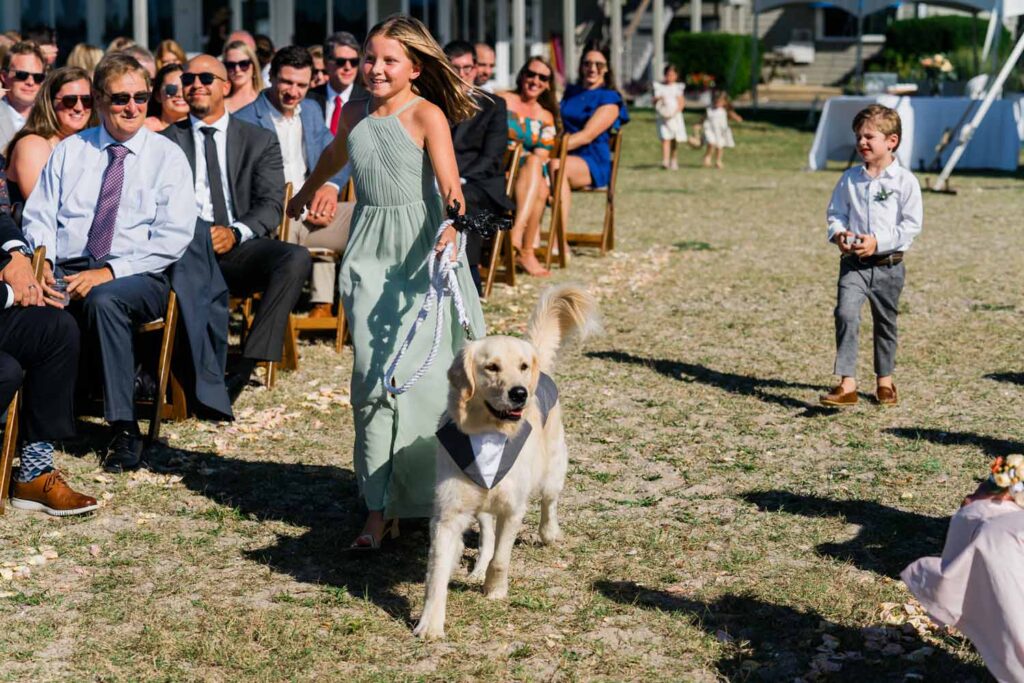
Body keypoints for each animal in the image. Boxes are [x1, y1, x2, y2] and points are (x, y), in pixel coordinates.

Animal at [411, 282, 598, 643]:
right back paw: (476, 569)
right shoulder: (448, 514)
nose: (519, 393)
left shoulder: (513, 508)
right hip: (483, 505)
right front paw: (430, 623)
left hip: (553, 470)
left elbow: (502, 557)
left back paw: (549, 533)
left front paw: (495, 590)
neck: (488, 433)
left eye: (522, 366)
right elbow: (436, 574)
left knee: (549, 503)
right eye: (492, 367)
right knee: (486, 535)